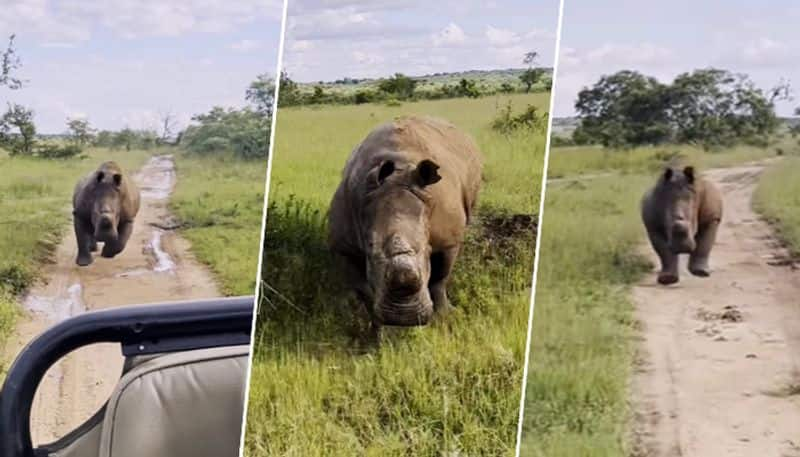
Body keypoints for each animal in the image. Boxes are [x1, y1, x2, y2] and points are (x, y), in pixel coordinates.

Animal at [326, 116, 482, 326]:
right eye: (370, 248)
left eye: (426, 250)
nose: (404, 318)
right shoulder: (345, 246)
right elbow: (363, 289)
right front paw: (375, 325)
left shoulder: (448, 239)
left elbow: (439, 279)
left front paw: (445, 315)